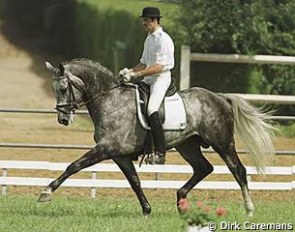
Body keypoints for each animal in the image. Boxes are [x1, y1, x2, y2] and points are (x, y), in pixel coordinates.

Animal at [38, 58, 276, 218]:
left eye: (63, 87)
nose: (63, 119)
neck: (110, 100)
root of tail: (221, 97)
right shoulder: (119, 155)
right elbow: (134, 181)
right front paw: (146, 210)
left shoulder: (106, 148)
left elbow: (74, 165)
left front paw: (46, 192)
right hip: (187, 146)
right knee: (203, 168)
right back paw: (181, 201)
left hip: (223, 143)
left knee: (238, 170)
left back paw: (249, 210)